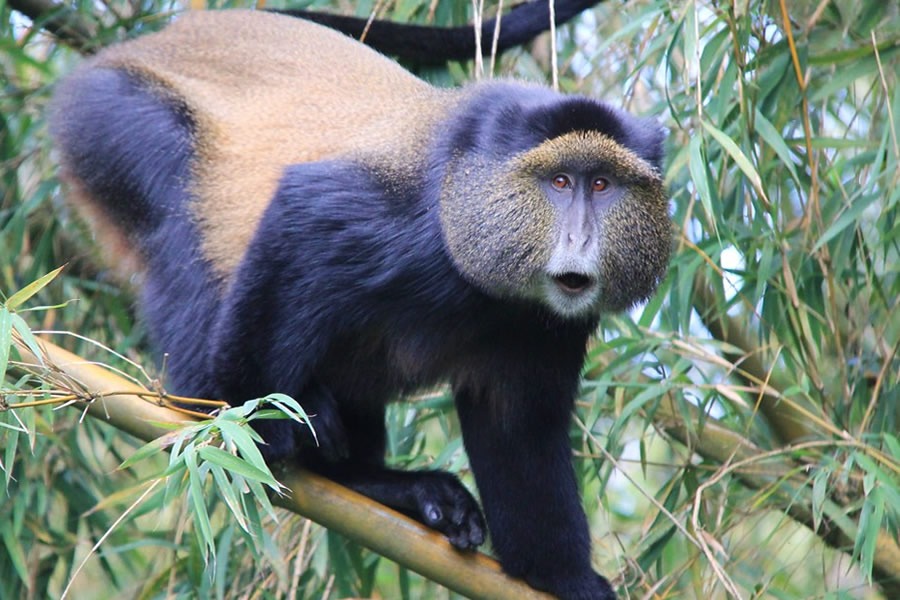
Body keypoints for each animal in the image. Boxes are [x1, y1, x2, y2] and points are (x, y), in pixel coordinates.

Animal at [49, 9, 670, 600]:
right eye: (561, 181)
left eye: (603, 184)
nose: (580, 240)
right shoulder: (401, 221)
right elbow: (300, 216)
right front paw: (256, 421)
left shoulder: (548, 329)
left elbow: (518, 429)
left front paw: (565, 578)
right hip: (113, 120)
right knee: (180, 233)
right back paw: (219, 407)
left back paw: (384, 486)